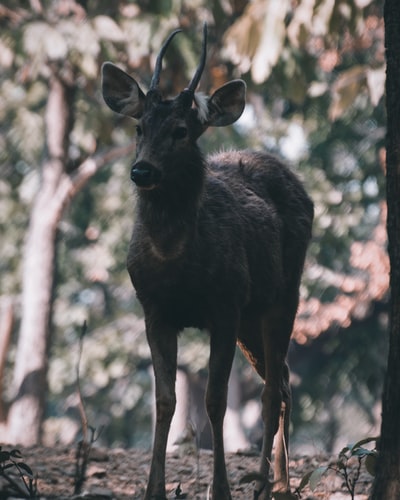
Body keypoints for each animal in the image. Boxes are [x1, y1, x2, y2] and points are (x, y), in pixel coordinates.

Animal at [101, 24, 314, 500]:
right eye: (140, 126)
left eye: (181, 130)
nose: (141, 171)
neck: (175, 260)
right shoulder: (154, 310)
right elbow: (165, 400)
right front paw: (154, 489)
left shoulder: (225, 305)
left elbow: (215, 399)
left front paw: (221, 489)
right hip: (253, 317)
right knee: (284, 380)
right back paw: (279, 480)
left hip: (283, 294)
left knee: (272, 390)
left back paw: (268, 483)